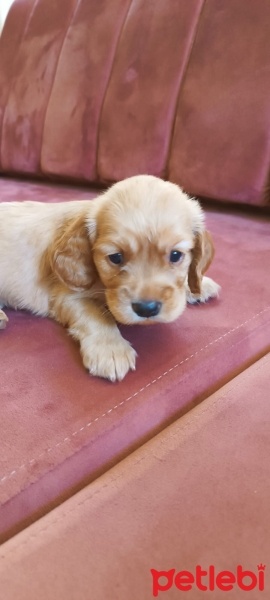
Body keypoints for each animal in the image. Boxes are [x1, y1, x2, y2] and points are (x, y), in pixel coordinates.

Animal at [0, 175, 219, 380]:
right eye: (115, 257)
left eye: (175, 255)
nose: (146, 309)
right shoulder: (66, 294)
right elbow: (96, 313)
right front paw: (111, 350)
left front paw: (200, 286)